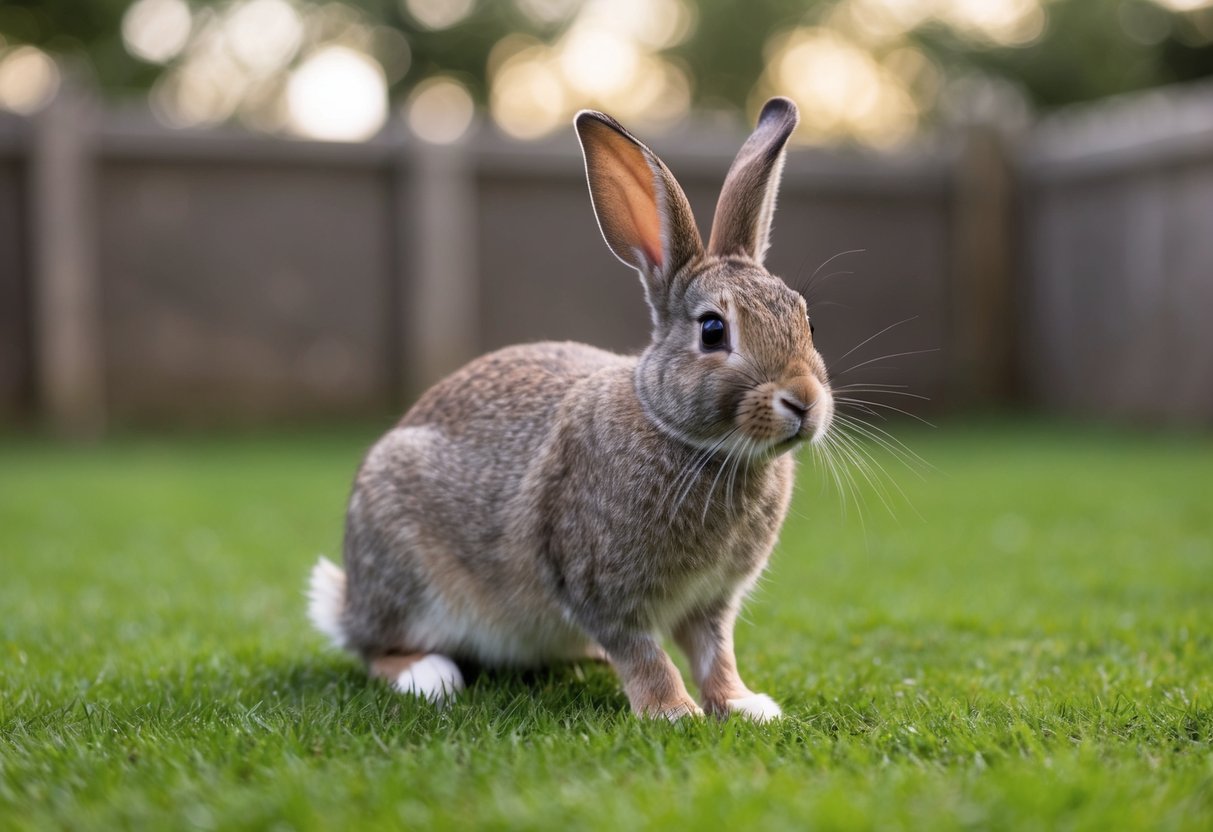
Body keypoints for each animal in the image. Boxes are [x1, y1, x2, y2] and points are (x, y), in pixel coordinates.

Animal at [308, 97, 833, 721]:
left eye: (806, 321)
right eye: (712, 331)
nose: (804, 401)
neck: (688, 440)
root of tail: (348, 602)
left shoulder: (711, 603)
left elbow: (715, 653)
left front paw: (745, 705)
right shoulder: (598, 585)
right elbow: (643, 653)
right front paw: (673, 712)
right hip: (404, 566)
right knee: (376, 649)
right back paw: (428, 675)